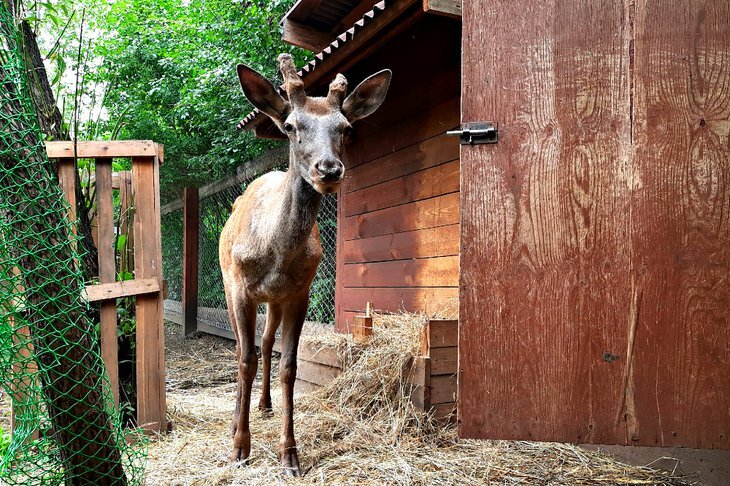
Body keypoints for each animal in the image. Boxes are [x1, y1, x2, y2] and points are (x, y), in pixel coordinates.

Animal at [219, 54, 391, 476]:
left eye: (345, 128)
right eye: (291, 126)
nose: (328, 170)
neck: (276, 254)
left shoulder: (299, 292)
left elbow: (290, 366)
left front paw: (290, 454)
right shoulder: (241, 288)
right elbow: (244, 358)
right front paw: (239, 448)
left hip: (275, 300)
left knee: (266, 343)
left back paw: (264, 404)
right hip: (229, 282)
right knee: (244, 348)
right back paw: (237, 419)